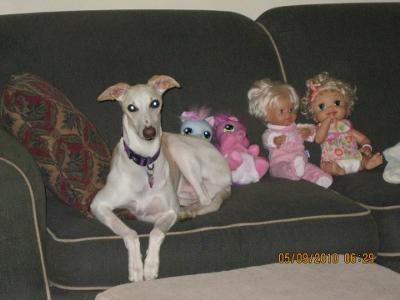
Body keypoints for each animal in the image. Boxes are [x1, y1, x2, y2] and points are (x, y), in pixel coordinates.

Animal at [88, 74, 230, 282]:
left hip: (181, 150)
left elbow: (155, 232)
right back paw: (188, 211)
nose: (150, 133)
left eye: (155, 103)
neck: (144, 161)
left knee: (205, 200)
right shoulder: (99, 205)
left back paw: (188, 212)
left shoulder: (168, 211)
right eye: (131, 107)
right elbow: (130, 232)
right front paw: (136, 268)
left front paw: (150, 266)